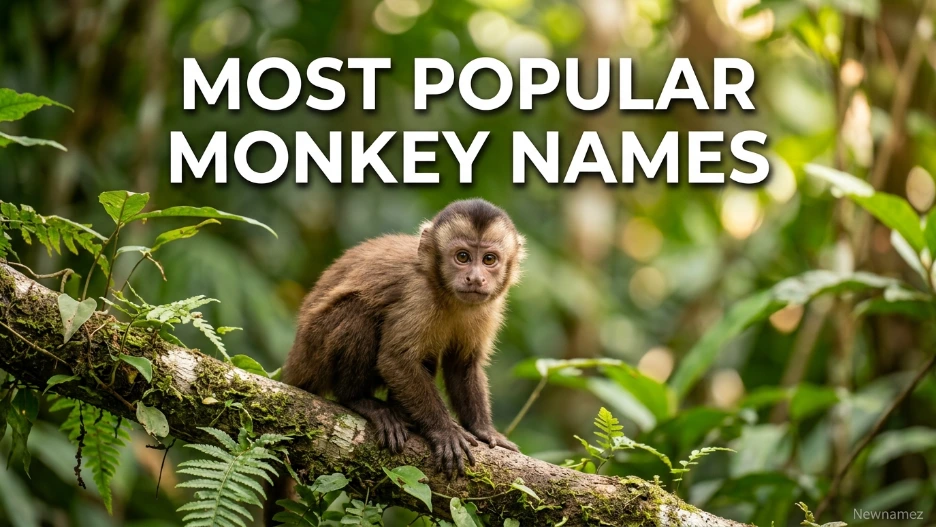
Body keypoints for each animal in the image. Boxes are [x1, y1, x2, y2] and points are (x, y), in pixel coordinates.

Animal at [282, 198, 524, 476]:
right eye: (462, 257)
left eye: (489, 259)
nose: (475, 278)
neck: (445, 292)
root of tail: (296, 362)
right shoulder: (418, 293)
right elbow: (395, 359)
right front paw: (444, 430)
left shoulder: (488, 307)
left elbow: (463, 364)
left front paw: (482, 429)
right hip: (314, 349)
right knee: (359, 310)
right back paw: (358, 399)